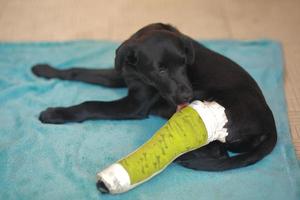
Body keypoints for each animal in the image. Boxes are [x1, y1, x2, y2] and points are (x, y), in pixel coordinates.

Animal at [32, 23, 276, 173]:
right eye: (161, 70)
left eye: (184, 63)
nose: (187, 95)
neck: (139, 73)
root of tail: (271, 124)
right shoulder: (120, 75)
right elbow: (78, 71)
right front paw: (44, 69)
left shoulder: (134, 105)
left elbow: (91, 104)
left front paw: (55, 113)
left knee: (219, 152)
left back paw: (185, 157)